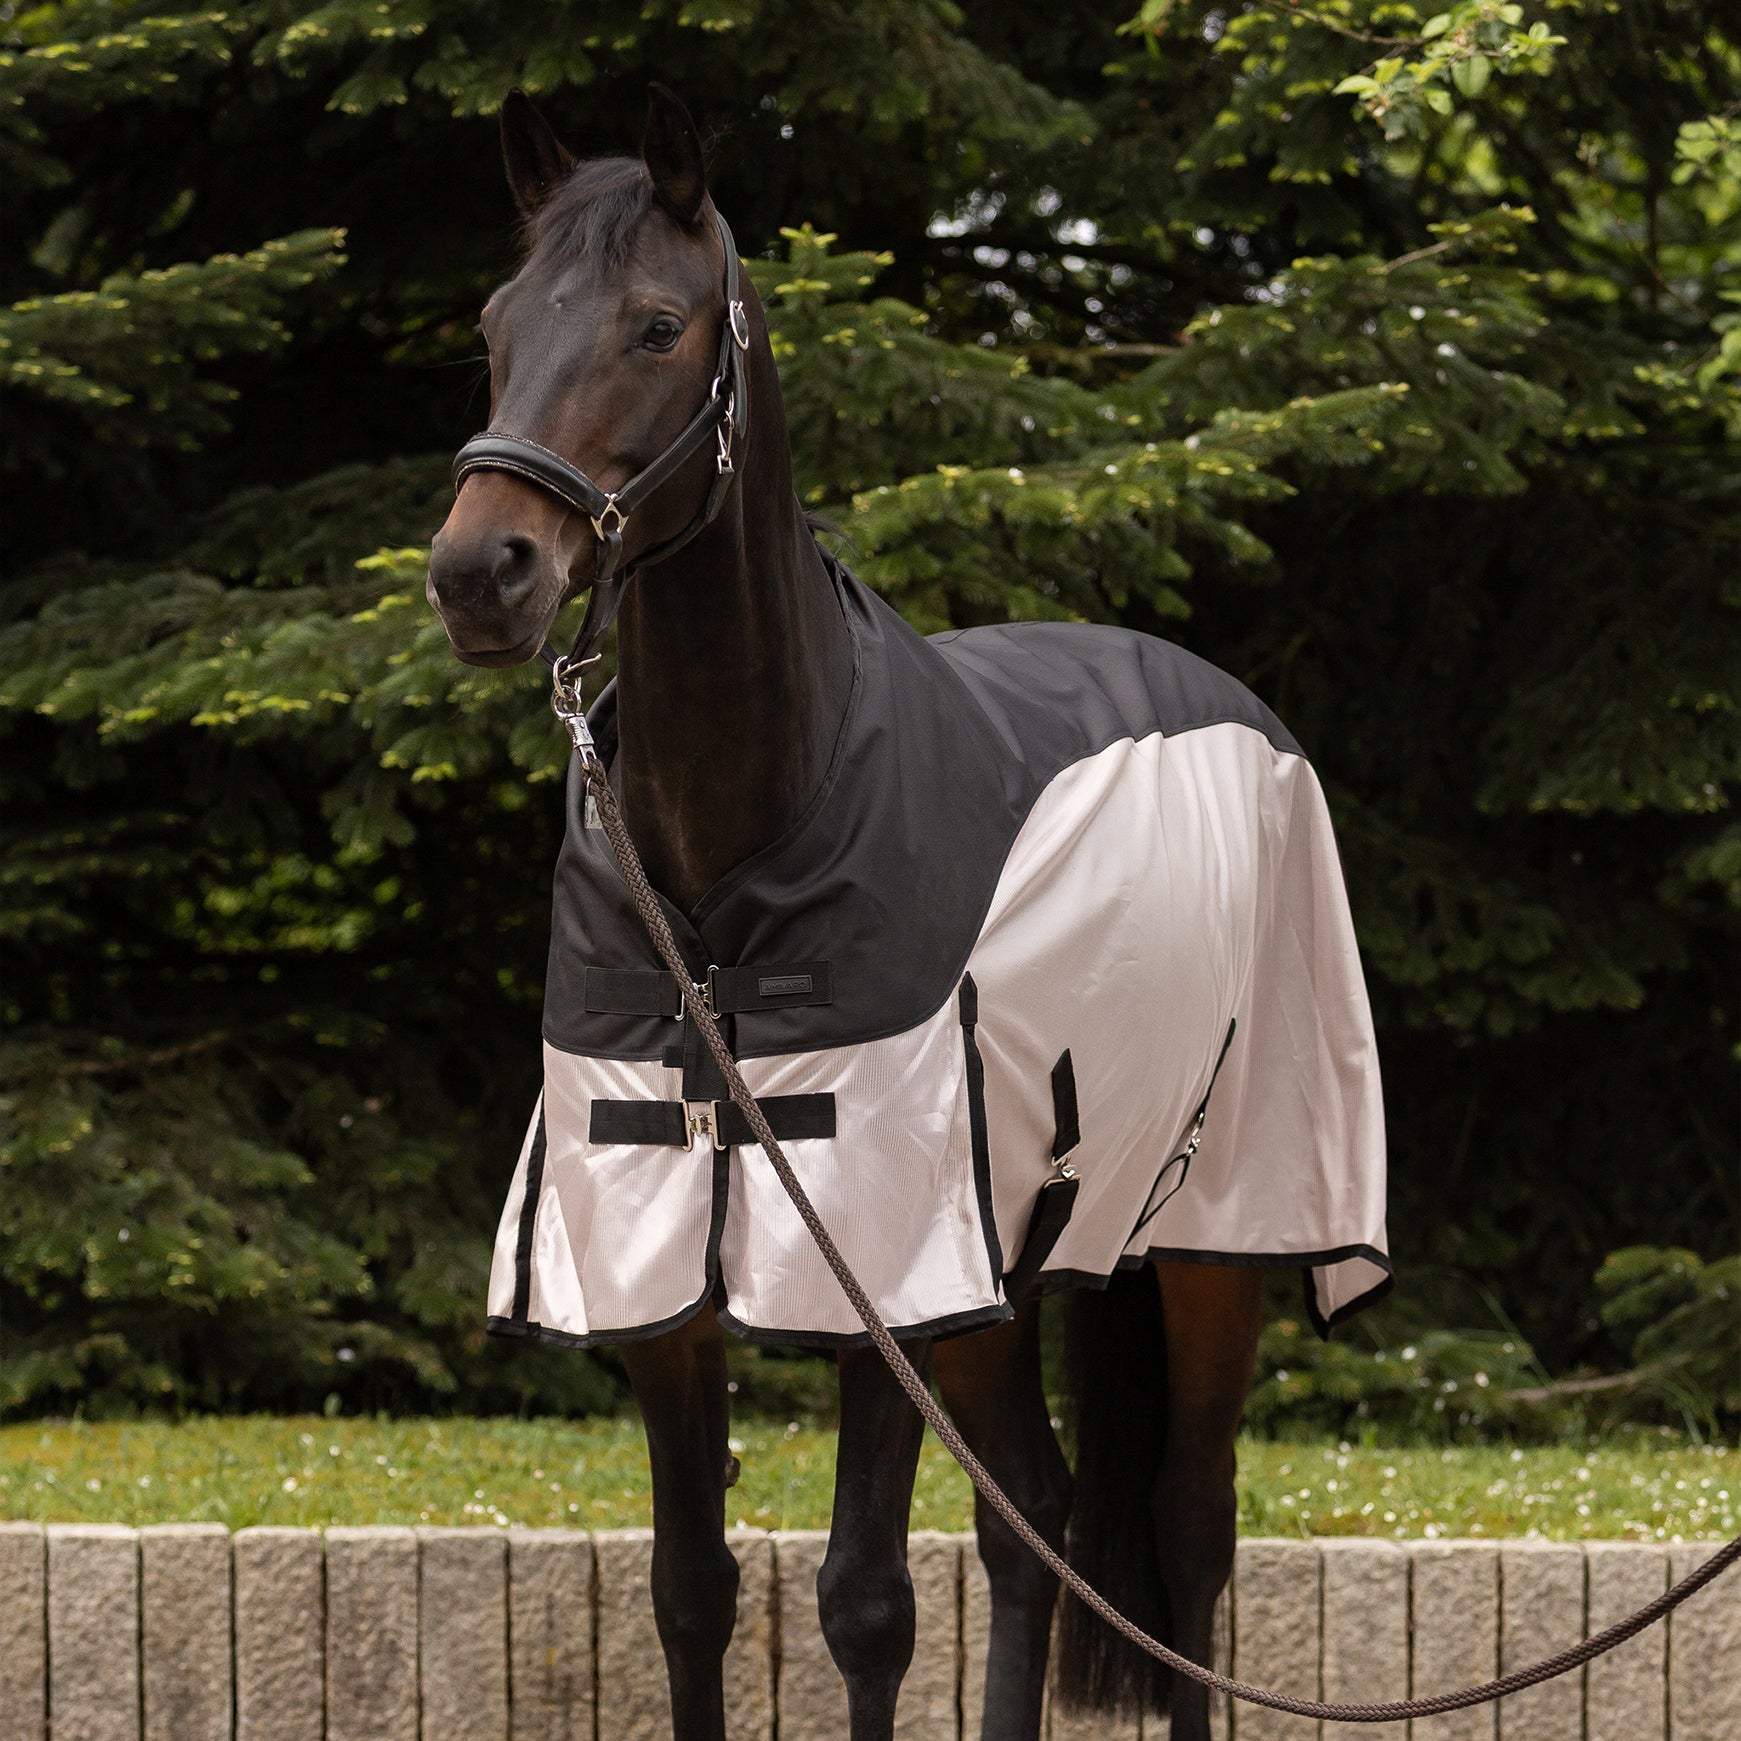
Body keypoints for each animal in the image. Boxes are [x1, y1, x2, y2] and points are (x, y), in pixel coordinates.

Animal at [427, 85, 1389, 1741]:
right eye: (496, 323)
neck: (731, 861)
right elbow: (691, 1590)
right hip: (1002, 1274)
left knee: (1189, 1524)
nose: (481, 572)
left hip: (1215, 1233)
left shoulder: (873, 1243)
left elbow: (864, 1604)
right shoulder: (663, 1268)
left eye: (656, 324)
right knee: (1037, 1522)